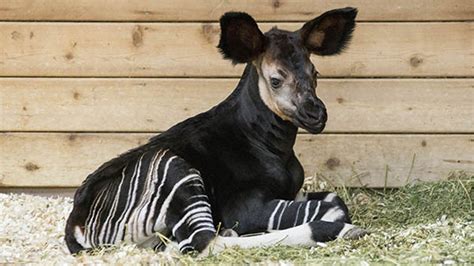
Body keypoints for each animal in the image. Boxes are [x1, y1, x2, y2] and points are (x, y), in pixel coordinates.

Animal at [65, 7, 366, 255]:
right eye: (276, 80)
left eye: (315, 74)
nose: (316, 114)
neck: (270, 146)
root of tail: (75, 223)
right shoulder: (245, 207)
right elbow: (333, 208)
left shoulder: (293, 192)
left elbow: (335, 199)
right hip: (177, 171)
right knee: (201, 242)